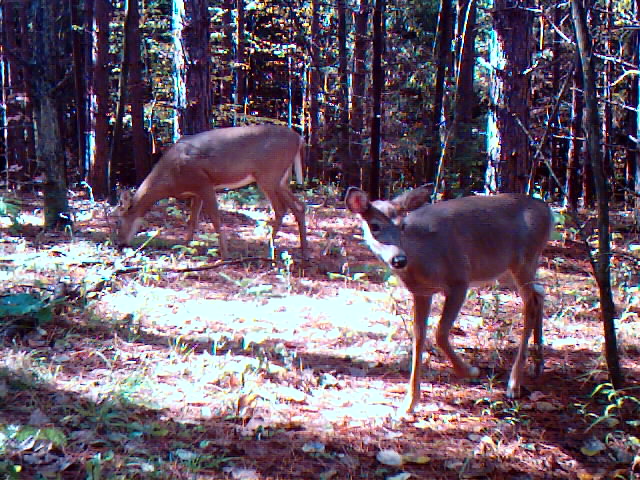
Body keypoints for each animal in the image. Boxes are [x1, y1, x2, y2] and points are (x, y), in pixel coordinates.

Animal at [116, 124, 307, 259]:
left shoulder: (204, 183)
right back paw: (304, 252)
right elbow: (192, 221)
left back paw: (269, 250)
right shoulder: (195, 191)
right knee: (300, 206)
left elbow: (215, 218)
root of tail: (299, 139)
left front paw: (224, 255)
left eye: (117, 221)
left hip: (268, 175)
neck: (170, 179)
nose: (120, 244)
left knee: (281, 209)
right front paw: (184, 249)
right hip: (281, 179)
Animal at [345, 186, 552, 413]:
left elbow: (440, 334)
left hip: (524, 260)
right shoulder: (422, 292)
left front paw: (470, 371)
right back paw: (537, 364)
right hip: (505, 270)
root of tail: (548, 210)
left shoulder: (459, 279)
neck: (421, 258)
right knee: (539, 292)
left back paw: (514, 384)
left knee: (531, 302)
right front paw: (409, 403)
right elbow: (419, 338)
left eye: (402, 225)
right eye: (374, 226)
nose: (399, 259)